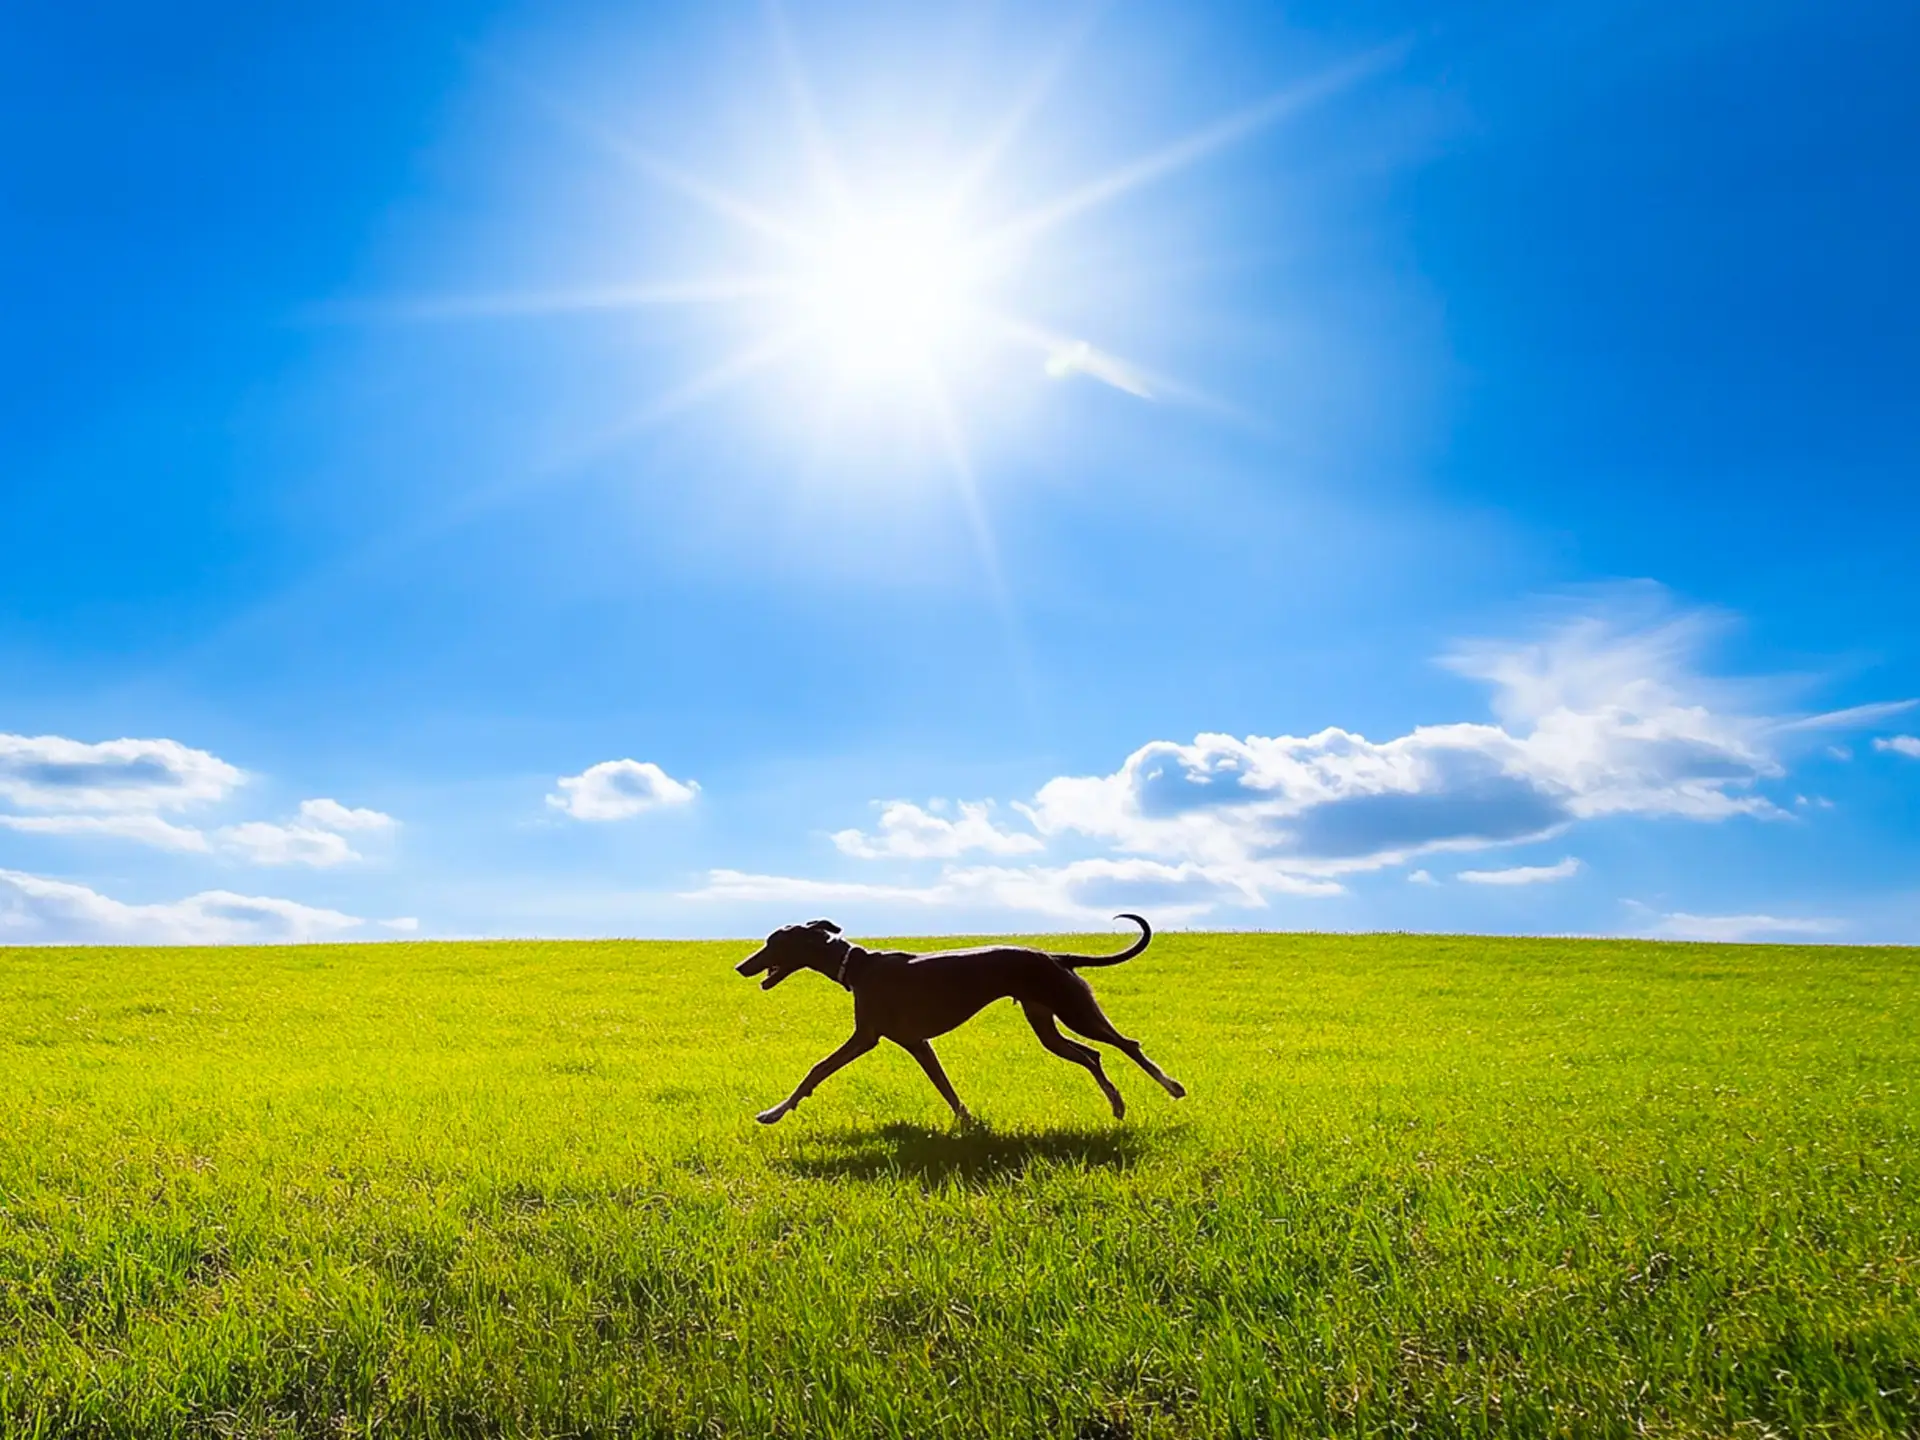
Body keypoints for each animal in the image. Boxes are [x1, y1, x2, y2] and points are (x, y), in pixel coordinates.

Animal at [733, 917, 1182, 1136]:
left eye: (773, 942)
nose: (741, 966)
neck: (856, 965)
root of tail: (1057, 957)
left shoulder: (866, 1038)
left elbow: (817, 1069)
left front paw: (774, 1112)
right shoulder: (917, 1042)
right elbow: (945, 1087)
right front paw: (968, 1122)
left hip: (1075, 1011)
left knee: (1127, 1044)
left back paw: (1171, 1086)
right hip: (1047, 1026)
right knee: (1093, 1054)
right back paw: (1117, 1103)